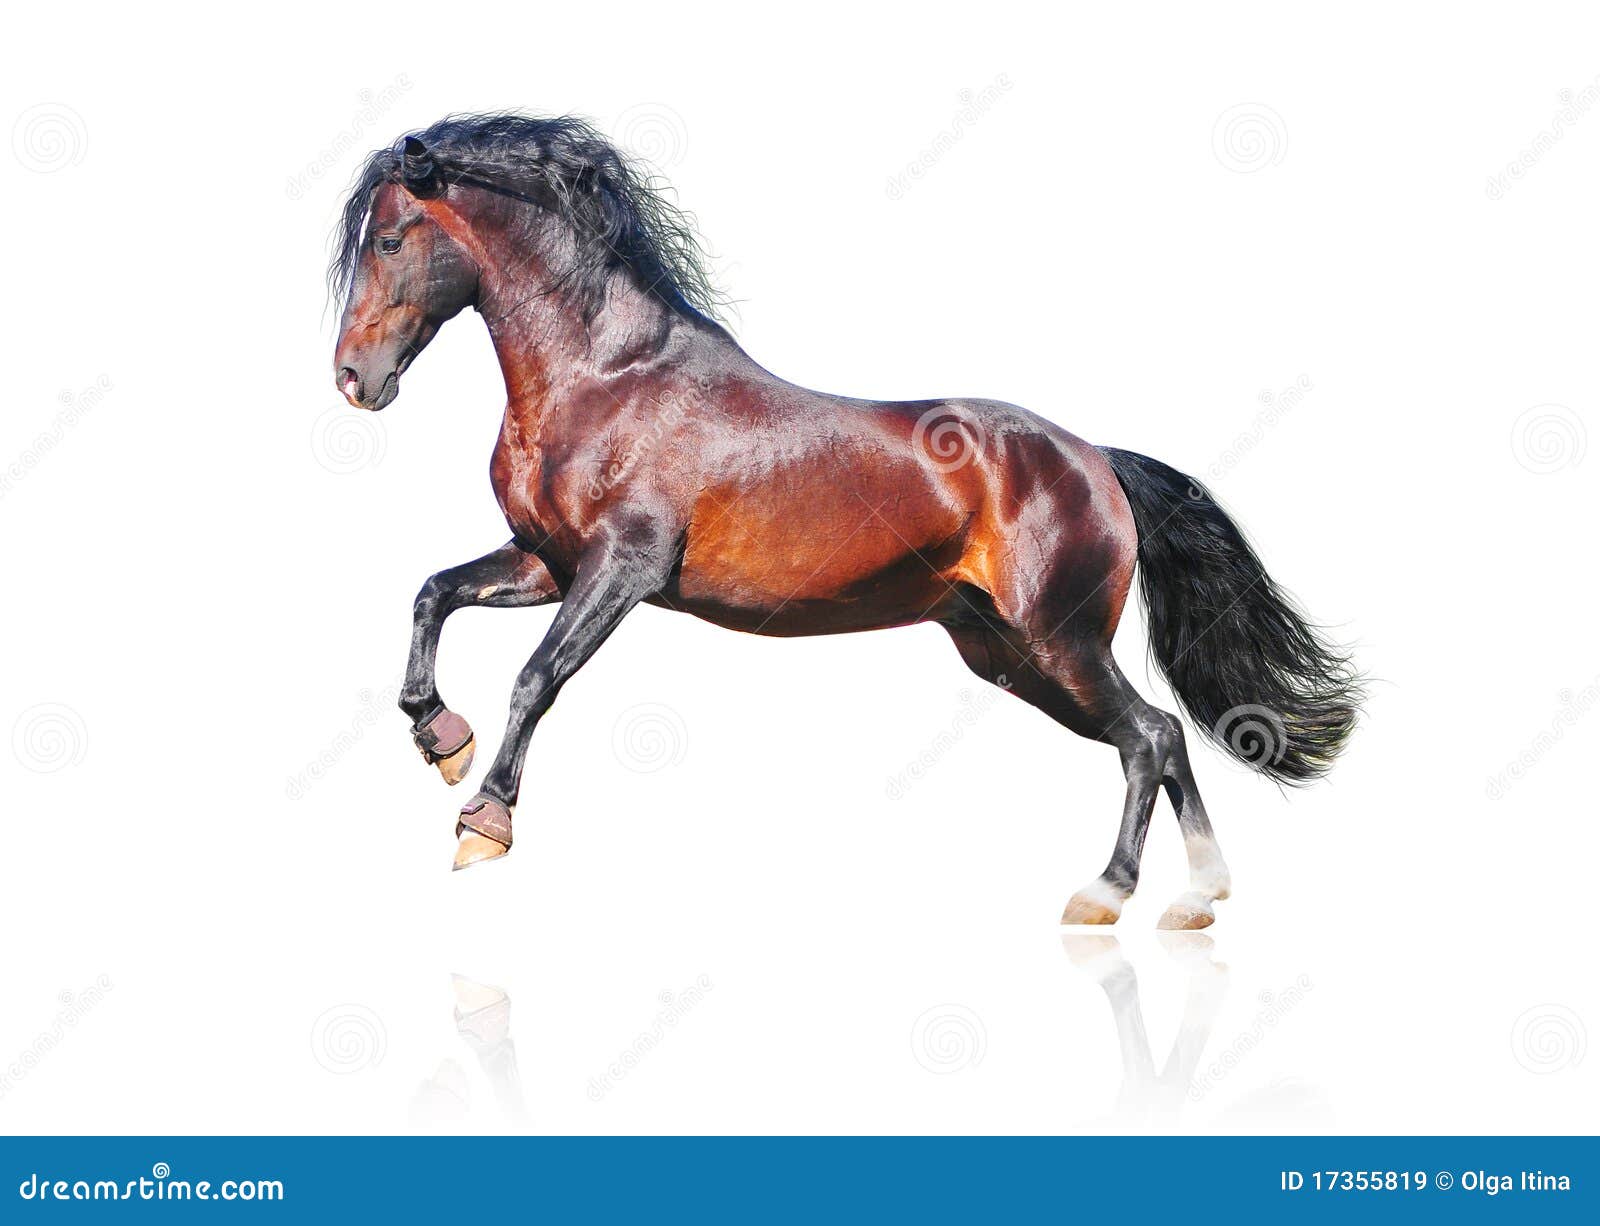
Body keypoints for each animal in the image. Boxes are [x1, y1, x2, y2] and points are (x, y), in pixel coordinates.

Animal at [329, 113, 1360, 926]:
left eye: (390, 241)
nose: (353, 380)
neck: (608, 377)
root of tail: (1096, 460)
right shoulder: (545, 561)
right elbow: (433, 594)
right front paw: (441, 739)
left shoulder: (620, 570)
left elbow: (538, 677)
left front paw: (483, 821)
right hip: (1004, 654)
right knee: (1164, 737)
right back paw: (1199, 897)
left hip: (1058, 641)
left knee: (1150, 736)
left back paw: (1107, 895)